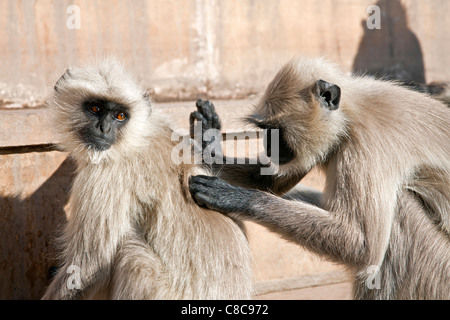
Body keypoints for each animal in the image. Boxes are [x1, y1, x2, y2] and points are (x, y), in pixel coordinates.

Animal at [41, 59, 253, 300]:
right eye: (95, 108)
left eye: (120, 116)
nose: (104, 128)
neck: (135, 140)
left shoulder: (106, 174)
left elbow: (87, 268)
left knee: (133, 256)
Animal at [190, 56, 450, 298]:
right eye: (265, 131)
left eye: (276, 131)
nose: (269, 146)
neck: (350, 113)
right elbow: (267, 181)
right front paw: (207, 139)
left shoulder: (368, 141)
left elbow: (362, 246)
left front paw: (234, 198)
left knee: (399, 209)